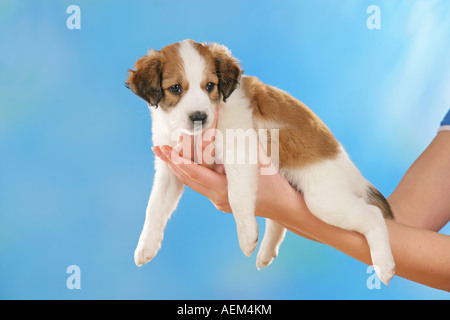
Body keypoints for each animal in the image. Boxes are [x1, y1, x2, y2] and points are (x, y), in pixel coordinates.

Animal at [125, 39, 396, 284]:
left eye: (210, 85)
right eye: (175, 88)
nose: (199, 117)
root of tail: (349, 168)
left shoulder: (239, 151)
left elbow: (236, 195)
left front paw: (246, 236)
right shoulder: (169, 167)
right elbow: (155, 206)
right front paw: (145, 245)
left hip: (323, 200)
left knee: (373, 215)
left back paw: (384, 265)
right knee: (279, 221)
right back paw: (267, 251)